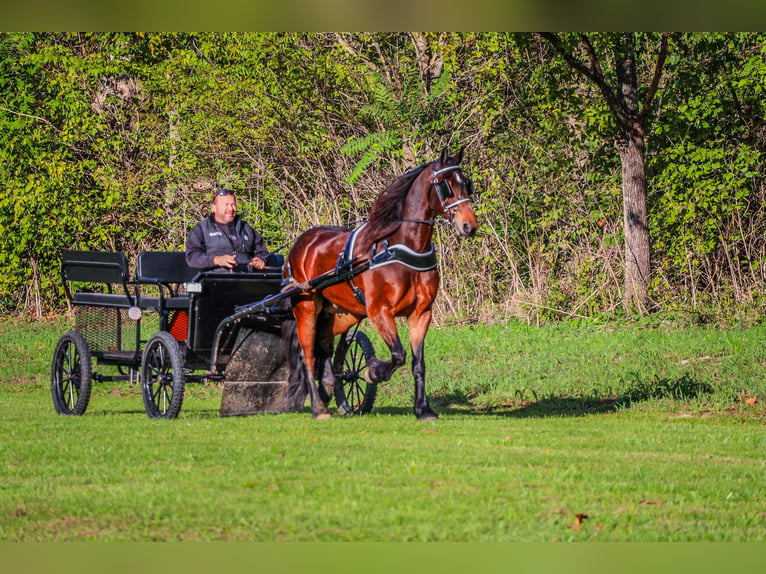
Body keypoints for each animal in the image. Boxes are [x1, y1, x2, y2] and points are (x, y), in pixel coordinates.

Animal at [282, 146, 480, 420]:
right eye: (446, 185)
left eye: (467, 184)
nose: (469, 226)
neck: (400, 249)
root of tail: (302, 243)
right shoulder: (379, 312)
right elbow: (398, 355)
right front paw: (373, 371)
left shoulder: (421, 314)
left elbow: (418, 363)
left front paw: (423, 409)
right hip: (307, 308)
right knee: (308, 356)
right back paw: (319, 407)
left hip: (341, 314)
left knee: (324, 350)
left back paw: (329, 388)